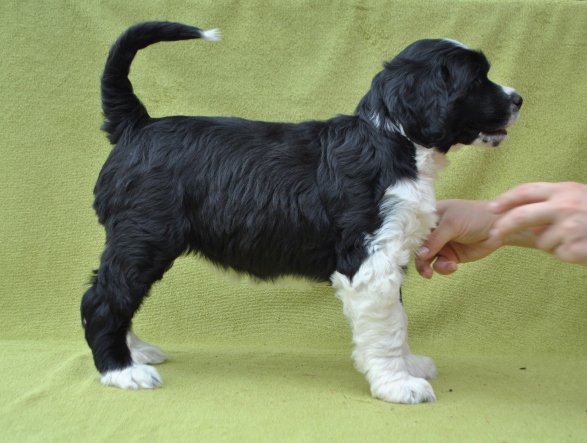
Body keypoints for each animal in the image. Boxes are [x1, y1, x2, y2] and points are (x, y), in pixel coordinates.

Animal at [82, 21, 522, 404]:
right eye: (476, 80)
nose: (518, 99)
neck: (391, 141)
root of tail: (137, 125)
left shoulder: (391, 251)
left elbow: (397, 315)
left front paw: (409, 365)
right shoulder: (369, 259)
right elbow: (389, 326)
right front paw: (398, 384)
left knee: (114, 292)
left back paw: (135, 352)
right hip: (144, 237)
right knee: (101, 299)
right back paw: (122, 370)